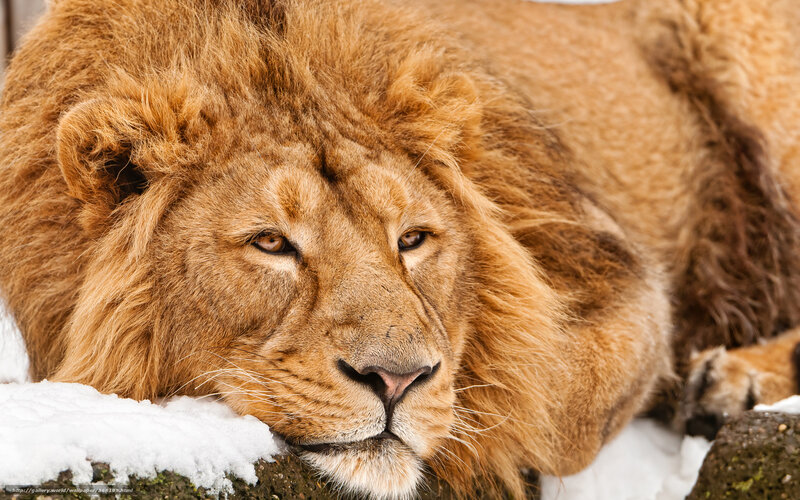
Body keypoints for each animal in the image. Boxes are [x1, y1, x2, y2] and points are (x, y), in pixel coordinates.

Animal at [2, 0, 800, 497]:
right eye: (271, 243)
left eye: (412, 239)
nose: (397, 380)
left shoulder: (609, 262)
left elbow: (554, 402)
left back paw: (732, 385)